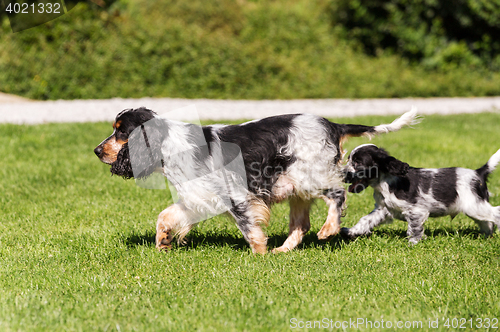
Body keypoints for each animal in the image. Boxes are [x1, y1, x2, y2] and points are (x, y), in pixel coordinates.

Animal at [94, 107, 418, 253]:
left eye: (121, 132)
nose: (97, 150)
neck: (170, 145)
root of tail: (332, 124)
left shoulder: (234, 193)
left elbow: (250, 228)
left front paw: (258, 255)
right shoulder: (197, 194)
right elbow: (166, 215)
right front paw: (163, 241)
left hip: (309, 177)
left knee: (337, 195)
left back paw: (328, 229)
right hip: (296, 188)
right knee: (301, 224)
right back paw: (283, 250)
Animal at [344, 144, 500, 243]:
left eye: (357, 162)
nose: (342, 174)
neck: (386, 181)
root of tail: (478, 172)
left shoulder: (416, 210)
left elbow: (413, 228)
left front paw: (412, 243)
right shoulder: (383, 209)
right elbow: (365, 220)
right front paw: (352, 231)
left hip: (474, 207)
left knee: (496, 213)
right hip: (476, 208)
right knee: (487, 223)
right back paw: (487, 236)